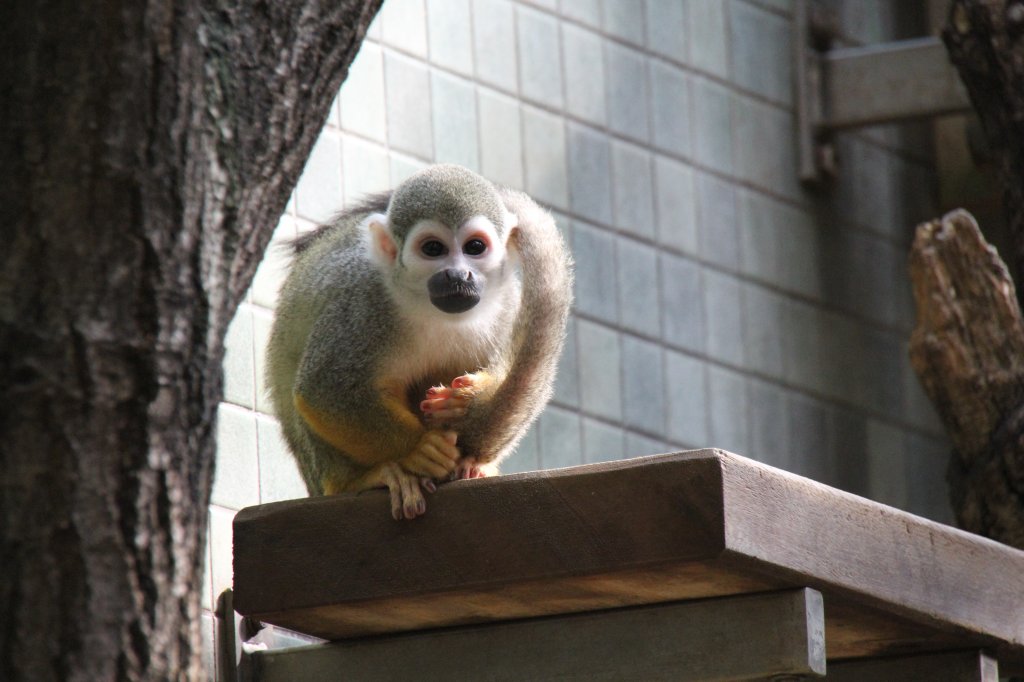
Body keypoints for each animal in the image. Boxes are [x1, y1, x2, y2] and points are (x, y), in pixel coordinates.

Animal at [266, 164, 577, 520]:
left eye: (474, 248)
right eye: (433, 249)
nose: (458, 275)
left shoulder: (506, 303)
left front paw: (468, 401)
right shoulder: (364, 304)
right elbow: (323, 388)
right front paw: (420, 449)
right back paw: (363, 479)